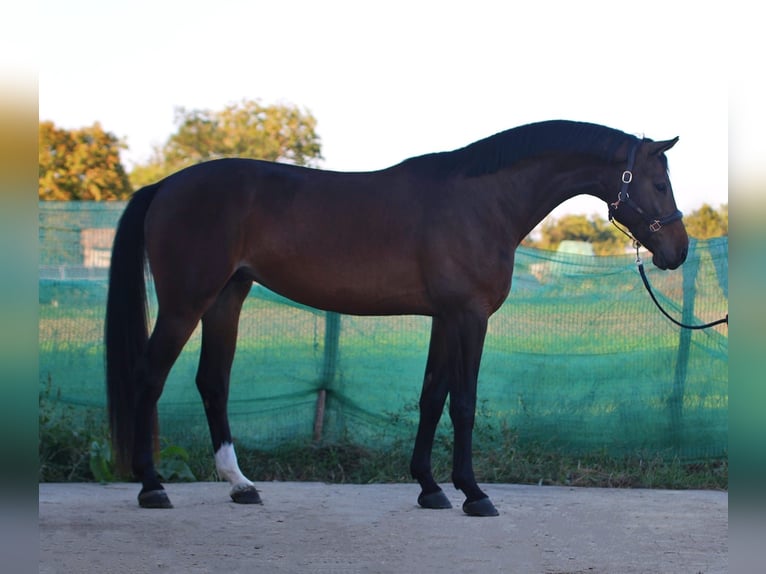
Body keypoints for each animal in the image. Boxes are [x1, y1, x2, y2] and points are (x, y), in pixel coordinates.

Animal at [103, 120, 688, 516]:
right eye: (660, 184)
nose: (678, 251)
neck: (483, 201)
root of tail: (165, 187)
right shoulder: (469, 317)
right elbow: (464, 402)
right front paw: (474, 493)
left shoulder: (444, 318)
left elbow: (432, 397)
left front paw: (429, 488)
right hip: (185, 303)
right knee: (148, 377)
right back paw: (151, 485)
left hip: (227, 298)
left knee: (212, 382)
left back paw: (239, 484)